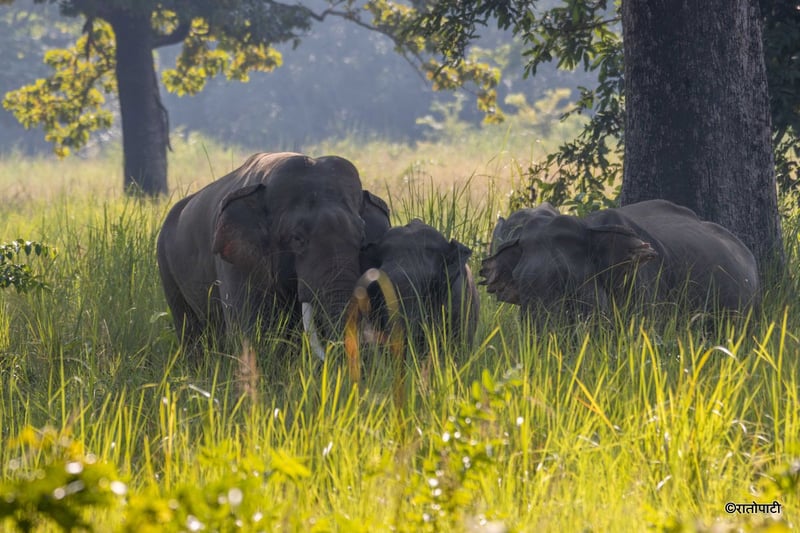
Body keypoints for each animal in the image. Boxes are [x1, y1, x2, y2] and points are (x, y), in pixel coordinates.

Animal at [156, 152, 390, 358]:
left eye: (361, 238)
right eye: (297, 238)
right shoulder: (237, 261)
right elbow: (251, 331)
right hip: (165, 266)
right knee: (188, 329)